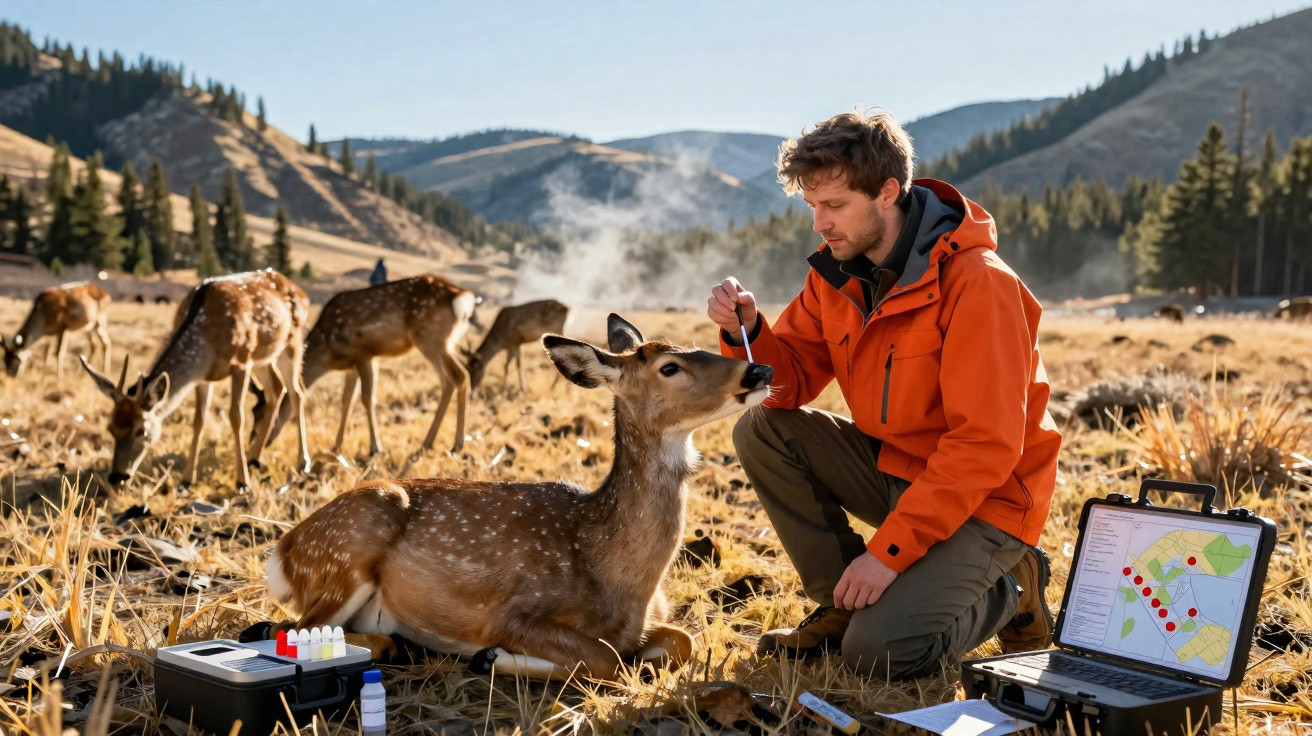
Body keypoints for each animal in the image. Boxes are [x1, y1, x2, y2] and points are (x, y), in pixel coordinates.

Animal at [80, 269, 310, 489]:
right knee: (277, 389)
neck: (206, 343)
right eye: (110, 428)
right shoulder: (203, 378)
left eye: (141, 430)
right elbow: (198, 421)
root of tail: (299, 289)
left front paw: (242, 482)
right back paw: (254, 457)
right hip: (264, 356)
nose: (117, 476)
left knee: (297, 392)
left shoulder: (242, 362)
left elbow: (236, 416)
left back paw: (302, 463)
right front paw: (185, 479)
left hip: (292, 343)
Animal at [252, 274, 475, 458]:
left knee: (454, 377)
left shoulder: (365, 354)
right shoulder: (351, 365)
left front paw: (375, 448)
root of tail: (462, 299)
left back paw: (447, 444)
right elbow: (346, 401)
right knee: (457, 377)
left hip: (430, 338)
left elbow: (367, 398)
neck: (328, 351)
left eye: (261, 415)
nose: (257, 442)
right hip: (445, 341)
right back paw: (439, 444)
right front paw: (336, 448)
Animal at [264, 314, 773, 680]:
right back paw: (401, 647)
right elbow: (606, 660)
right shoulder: (513, 612)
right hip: (345, 552)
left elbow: (683, 641)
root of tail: (282, 552)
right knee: (286, 630)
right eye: (669, 367)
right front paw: (489, 657)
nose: (760, 368)